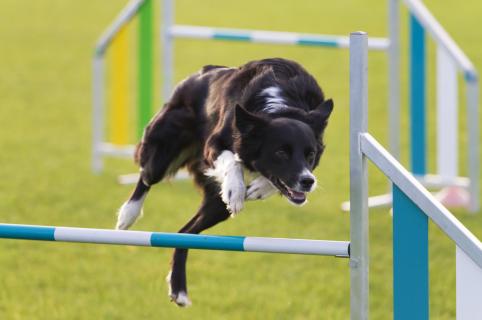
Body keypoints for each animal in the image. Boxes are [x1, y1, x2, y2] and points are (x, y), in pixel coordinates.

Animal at [115, 58, 334, 308]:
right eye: (281, 153)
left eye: (310, 154)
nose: (308, 182)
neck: (280, 104)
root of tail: (201, 73)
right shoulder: (215, 144)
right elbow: (232, 161)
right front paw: (236, 190)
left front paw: (259, 188)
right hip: (162, 153)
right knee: (145, 177)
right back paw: (128, 214)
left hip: (216, 207)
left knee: (185, 232)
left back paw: (178, 289)